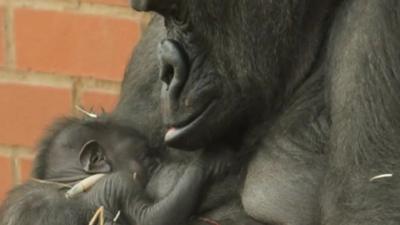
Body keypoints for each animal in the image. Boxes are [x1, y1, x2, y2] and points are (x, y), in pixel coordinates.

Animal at [0, 118, 212, 225]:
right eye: (147, 159)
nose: (158, 162)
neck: (71, 180)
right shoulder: (118, 183)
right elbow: (153, 217)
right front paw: (207, 163)